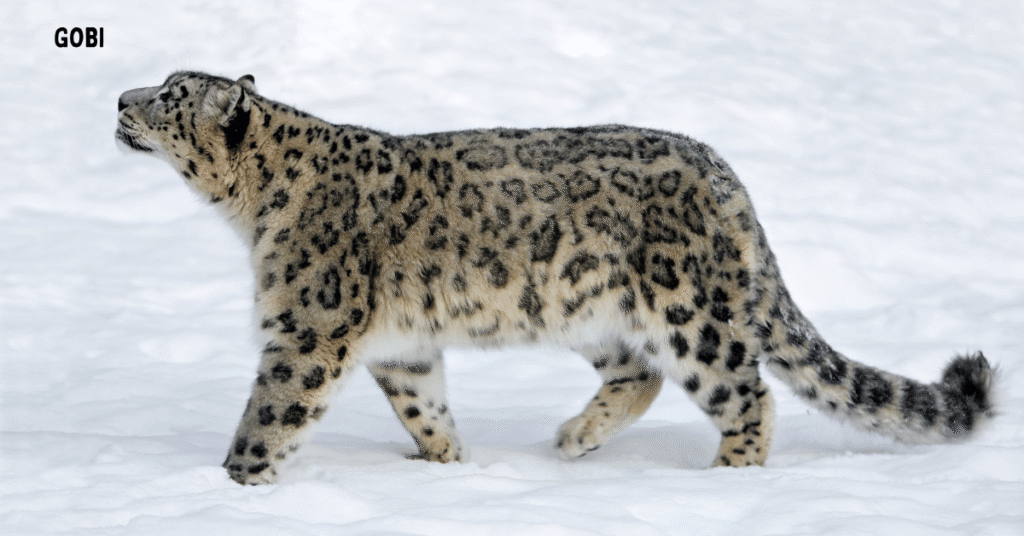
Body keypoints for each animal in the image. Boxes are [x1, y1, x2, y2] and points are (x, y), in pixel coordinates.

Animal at [116, 71, 997, 485]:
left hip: (690, 310)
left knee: (747, 392)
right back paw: (574, 439)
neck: (251, 211)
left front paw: (231, 485)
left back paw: (726, 482)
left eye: (170, 96)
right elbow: (422, 404)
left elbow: (269, 415)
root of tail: (724, 174)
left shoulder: (308, 327)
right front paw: (447, 463)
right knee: (638, 373)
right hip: (590, 308)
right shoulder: (400, 346)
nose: (121, 98)